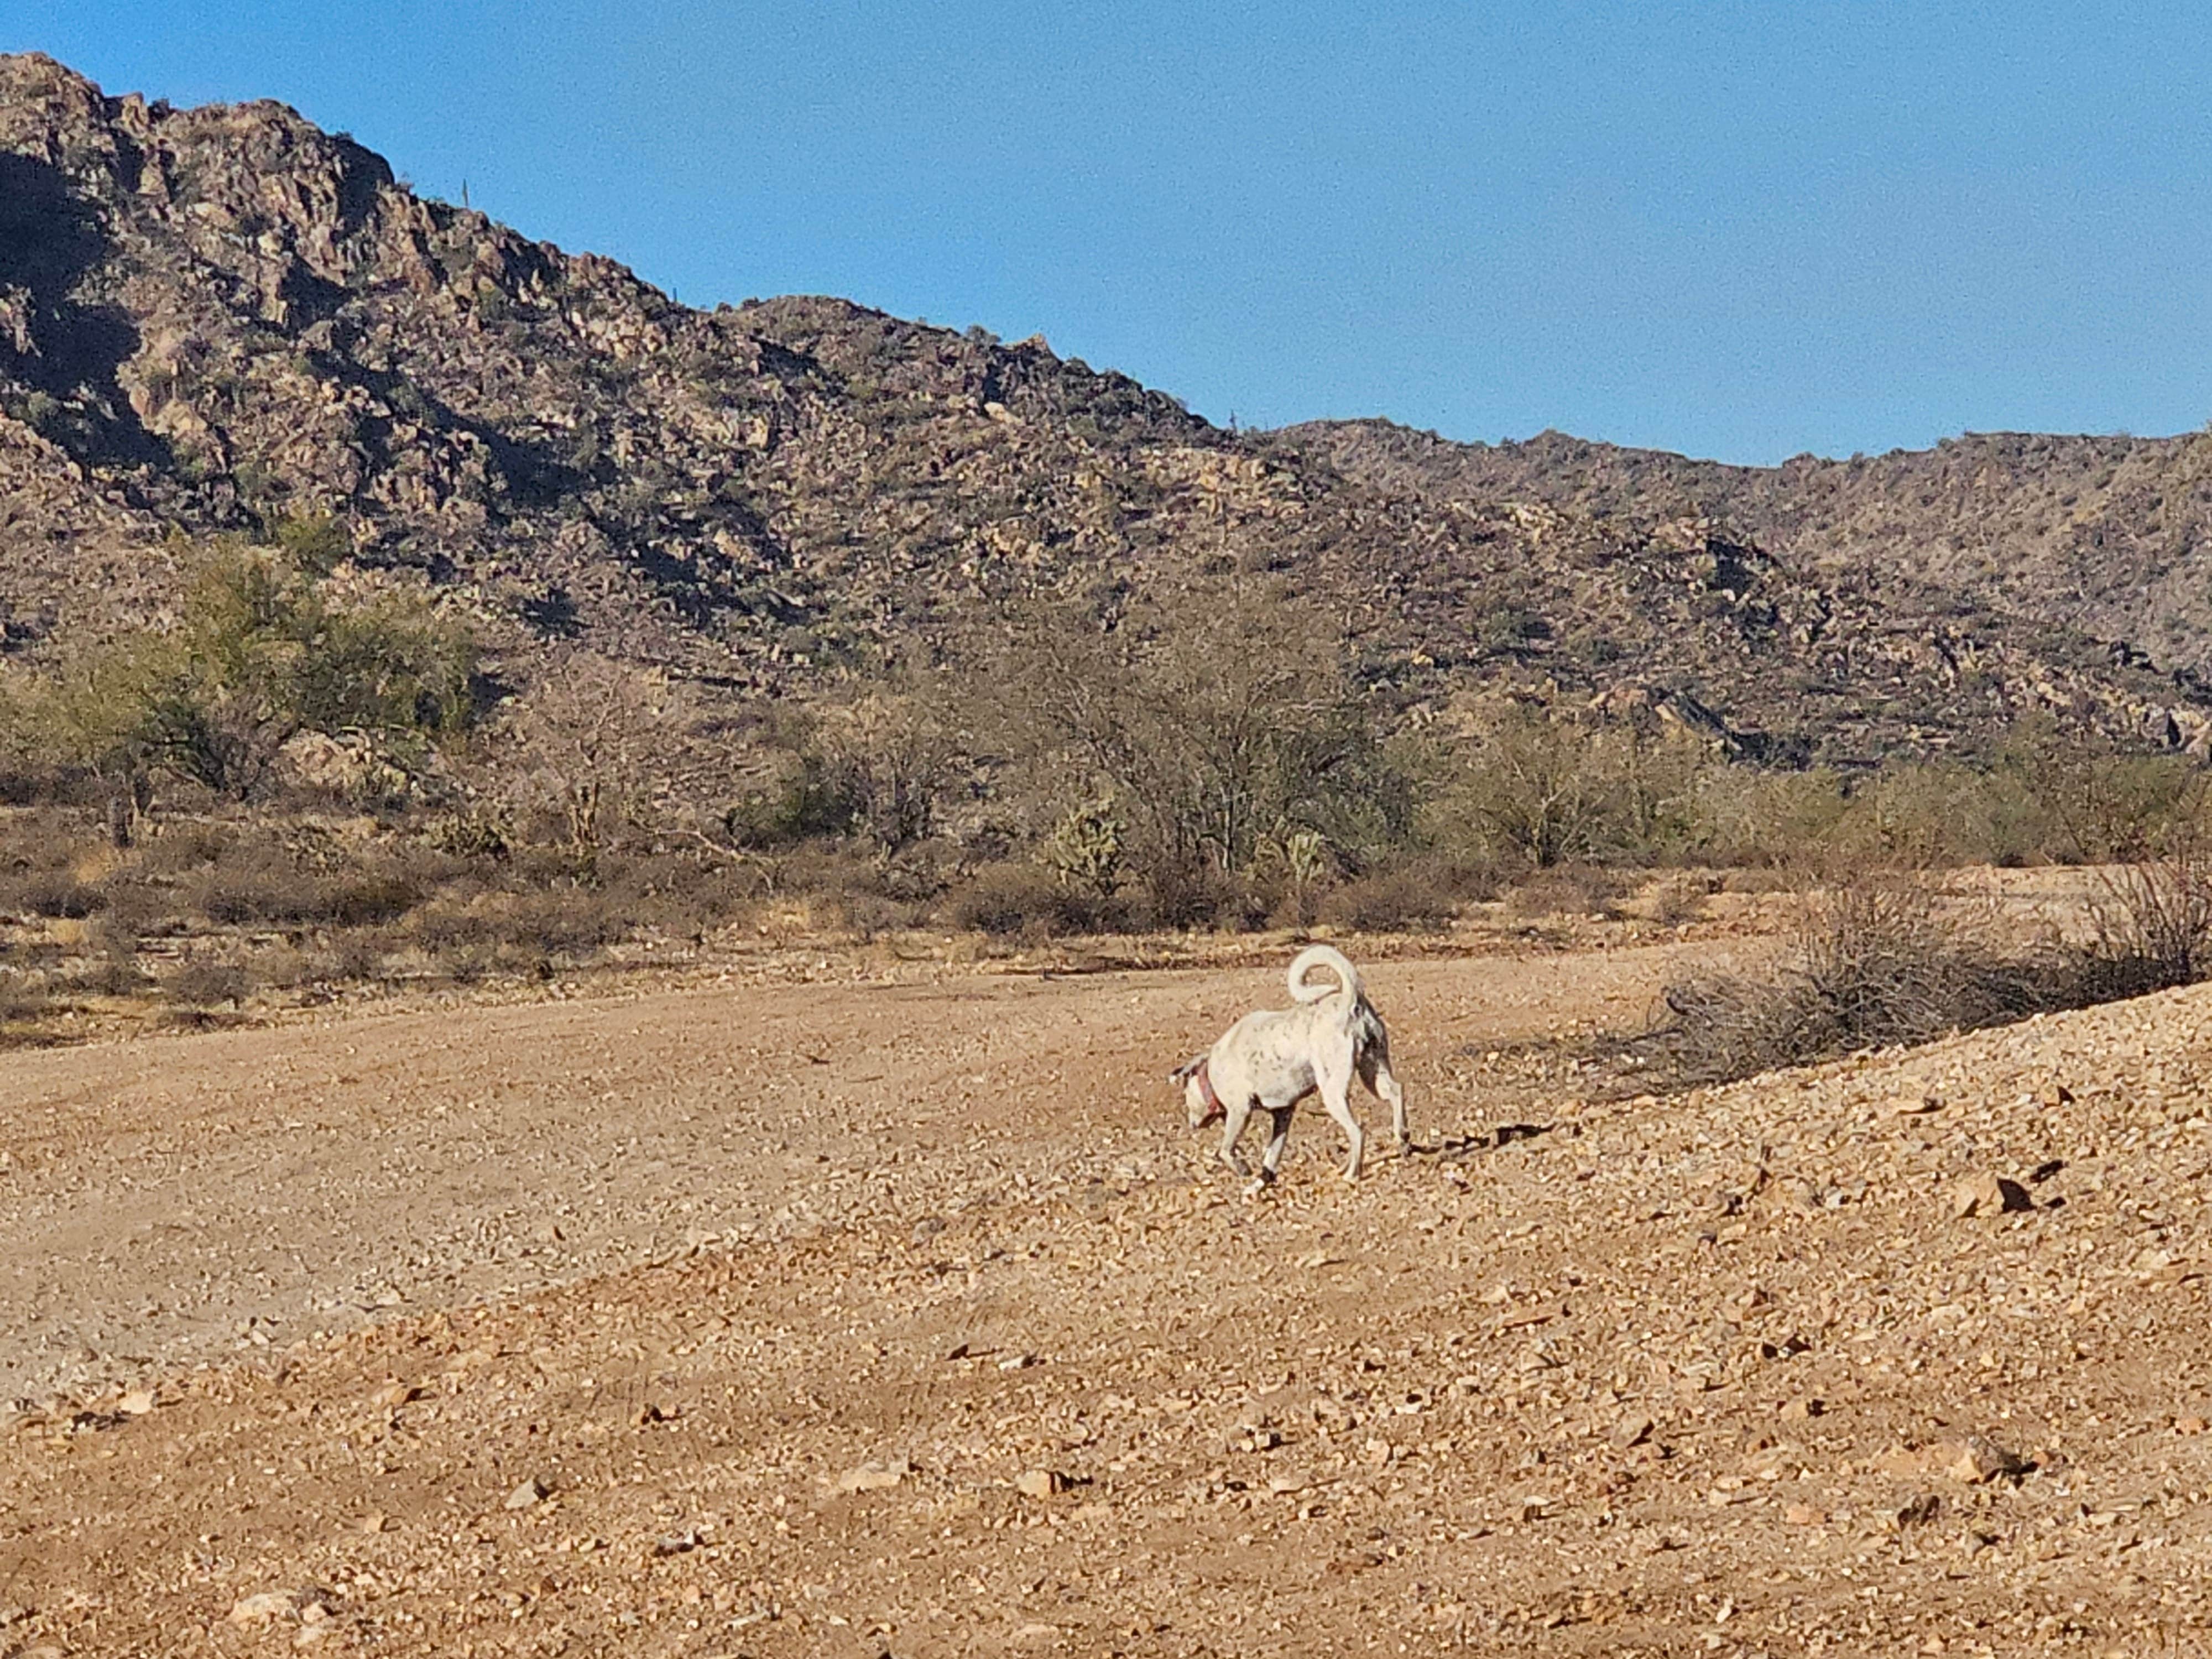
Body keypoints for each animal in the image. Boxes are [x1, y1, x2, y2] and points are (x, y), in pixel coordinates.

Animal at [1168, 947, 1407, 1194]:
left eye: (1186, 1097)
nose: (1191, 1124)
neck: (1212, 1074)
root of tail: (1350, 1002)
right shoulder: (1283, 1114)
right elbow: (1272, 1156)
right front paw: (1260, 1183)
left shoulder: (1240, 1112)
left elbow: (1225, 1150)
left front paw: (1243, 1170)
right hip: (1373, 1070)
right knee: (1396, 1091)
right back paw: (1401, 1136)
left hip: (1333, 1091)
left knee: (1357, 1131)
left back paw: (1352, 1173)